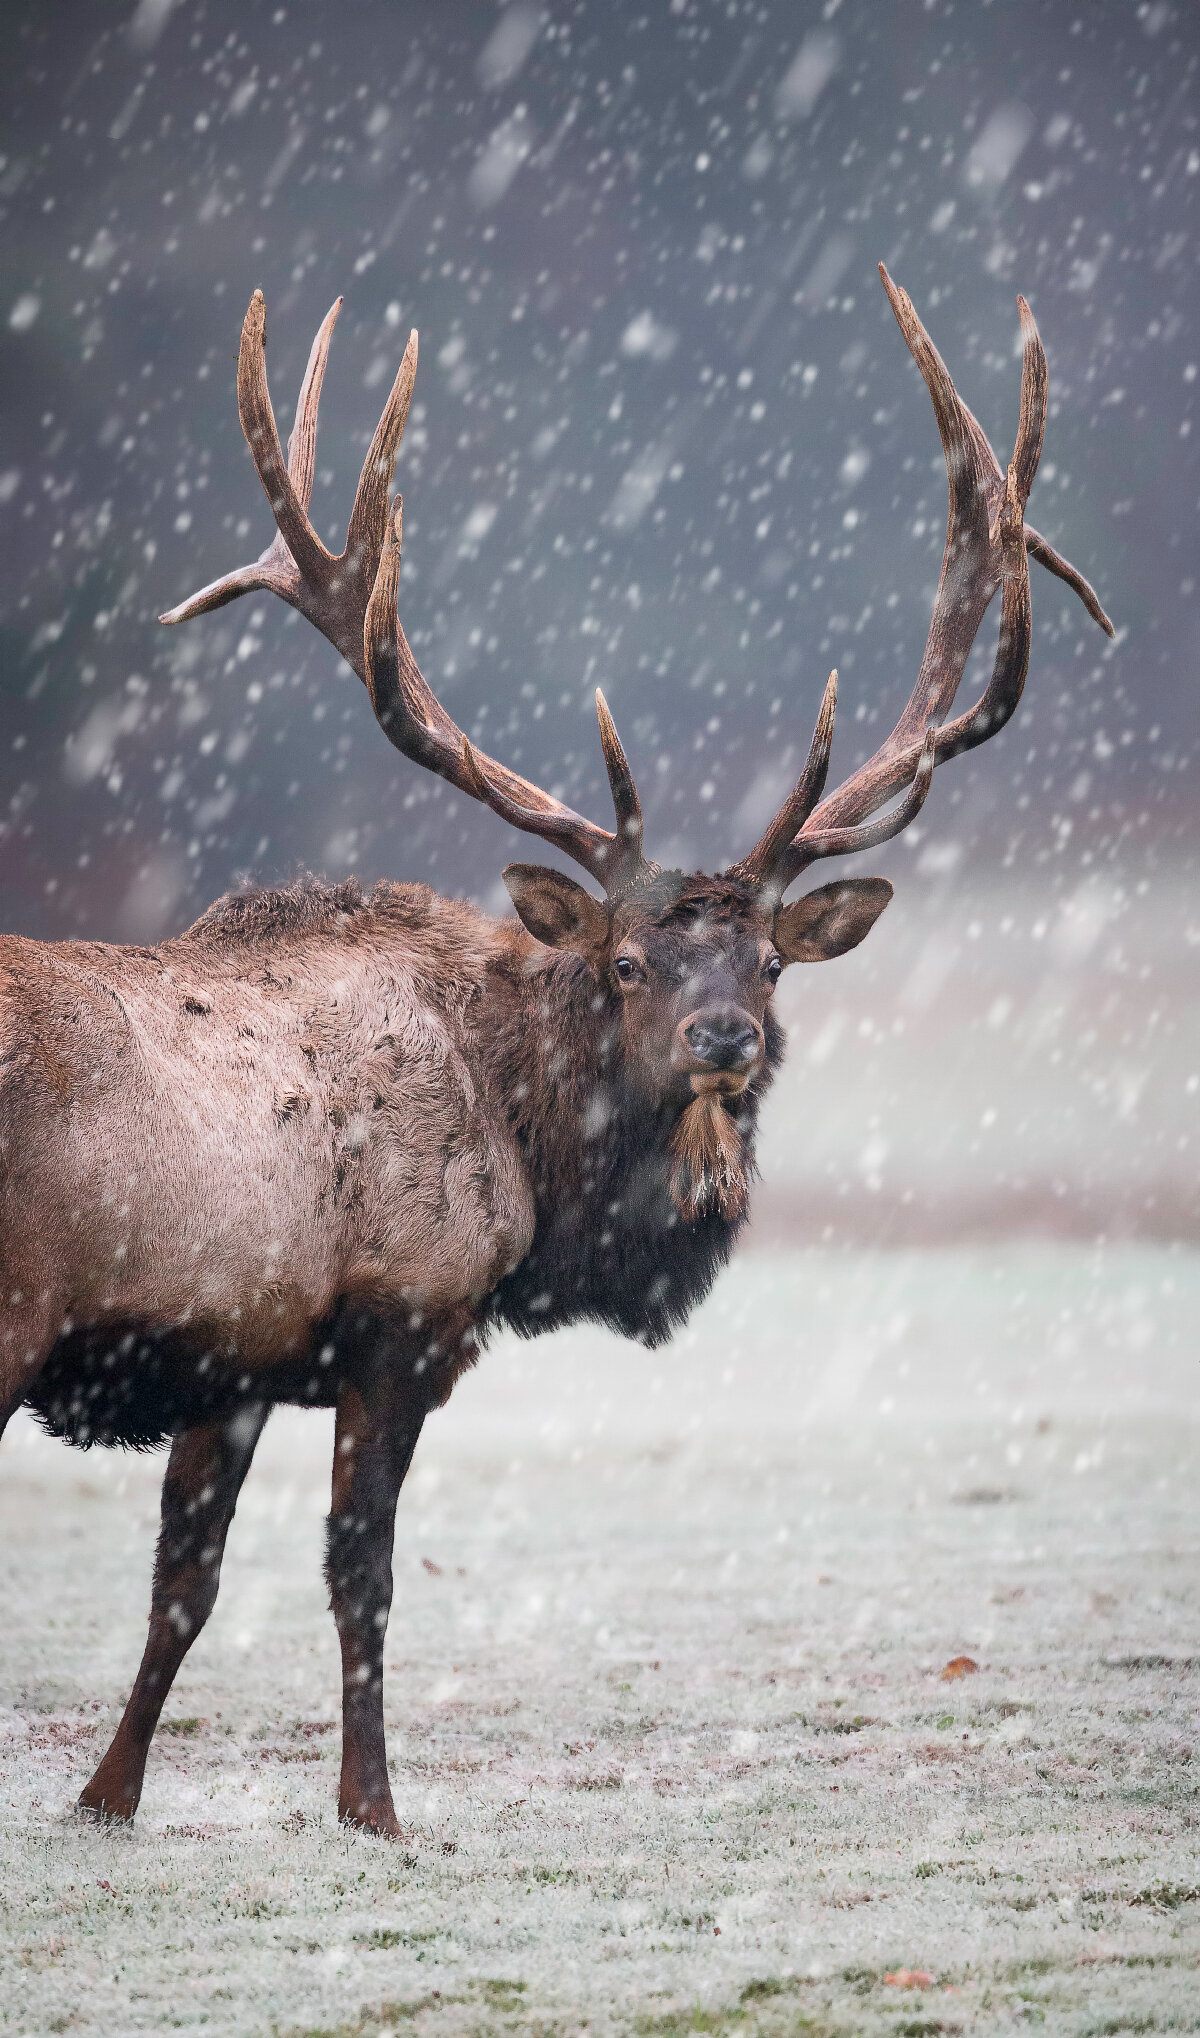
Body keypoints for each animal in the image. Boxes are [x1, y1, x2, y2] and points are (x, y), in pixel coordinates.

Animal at [0, 266, 1111, 1838]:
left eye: (772, 962)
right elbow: (358, 1577)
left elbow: (181, 1585)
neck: (530, 1168)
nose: (724, 1036)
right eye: (626, 960)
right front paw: (375, 1807)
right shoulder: (402, 1318)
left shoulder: (237, 1356)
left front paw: (107, 1795)